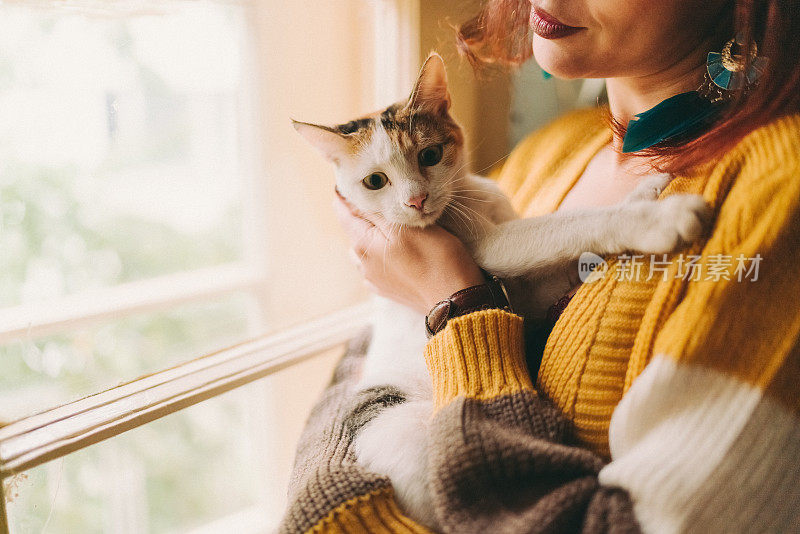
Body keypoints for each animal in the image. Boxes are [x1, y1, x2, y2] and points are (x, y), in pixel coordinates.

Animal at [296, 53, 712, 532]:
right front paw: (657, 218)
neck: (467, 199)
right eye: (375, 182)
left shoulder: (524, 289)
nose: (416, 201)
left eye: (430, 155)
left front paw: (643, 193)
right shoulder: (491, 246)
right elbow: (566, 225)